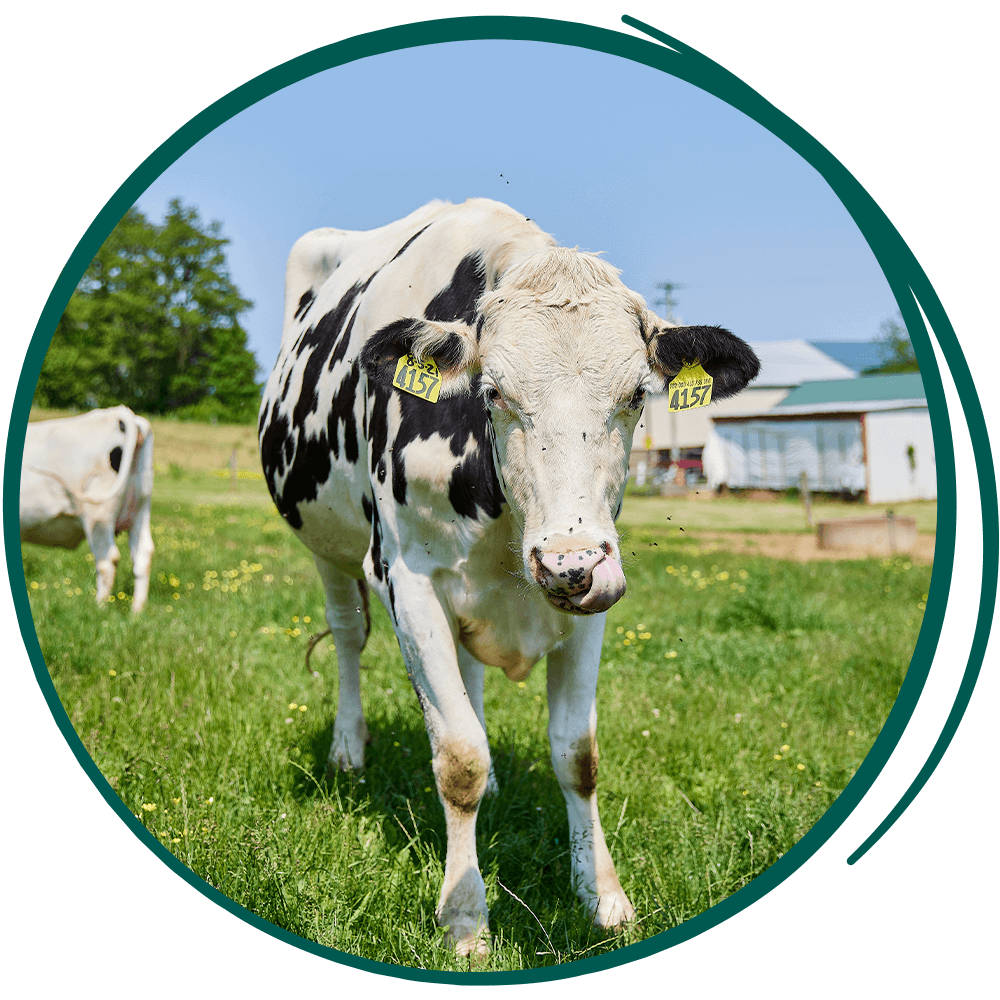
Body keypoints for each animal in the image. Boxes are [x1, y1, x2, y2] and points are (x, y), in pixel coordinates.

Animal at [20, 405, 155, 614]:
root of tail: (117, 413)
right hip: (140, 508)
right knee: (143, 555)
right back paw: (136, 611)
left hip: (98, 516)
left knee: (107, 560)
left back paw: (99, 608)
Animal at [258, 198, 760, 957]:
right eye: (493, 392)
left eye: (635, 396)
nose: (567, 563)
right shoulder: (408, 580)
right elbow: (457, 757)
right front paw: (465, 918)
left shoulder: (597, 593)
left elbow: (577, 755)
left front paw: (603, 898)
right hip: (328, 544)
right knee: (347, 635)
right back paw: (349, 749)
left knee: (469, 678)